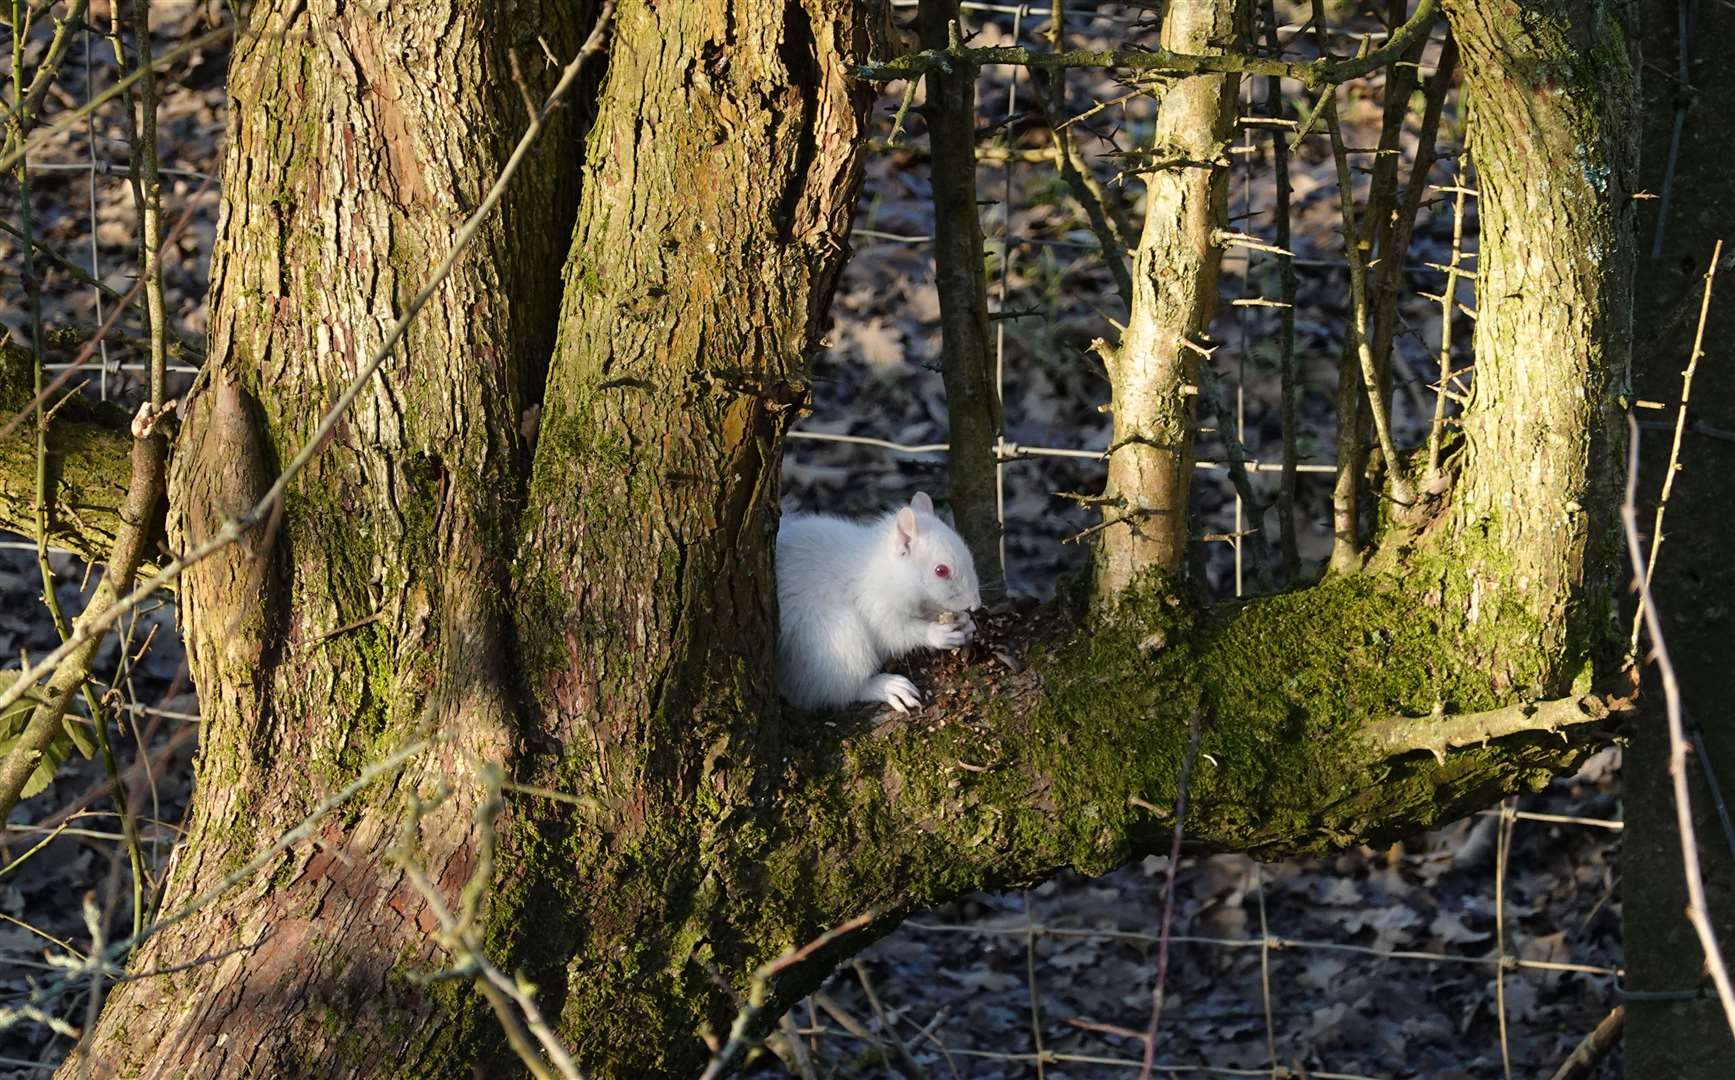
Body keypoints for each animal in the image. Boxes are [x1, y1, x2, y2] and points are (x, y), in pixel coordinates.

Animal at [780, 496, 985, 715]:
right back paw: (886, 687)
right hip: (837, 639)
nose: (975, 605)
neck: (888, 571)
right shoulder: (874, 604)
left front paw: (966, 624)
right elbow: (895, 633)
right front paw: (937, 634)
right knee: (837, 690)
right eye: (941, 570)